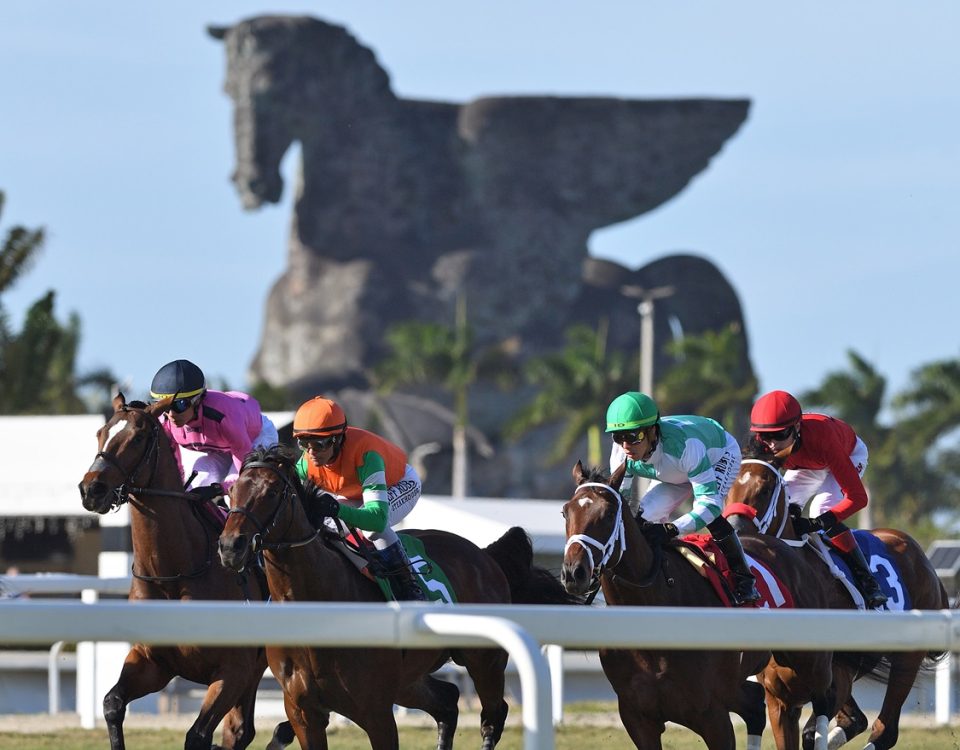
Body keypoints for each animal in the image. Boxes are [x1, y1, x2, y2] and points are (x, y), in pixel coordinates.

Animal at [79, 394, 292, 750]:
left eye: (138, 438)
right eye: (100, 433)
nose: (91, 489)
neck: (173, 573)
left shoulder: (232, 671)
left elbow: (198, 735)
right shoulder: (152, 664)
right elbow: (112, 704)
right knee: (241, 730)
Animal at [218, 446, 576, 750]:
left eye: (271, 492)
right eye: (231, 492)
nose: (230, 546)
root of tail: (485, 554)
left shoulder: (375, 711)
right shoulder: (303, 713)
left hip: (483, 660)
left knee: (493, 716)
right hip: (409, 678)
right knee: (447, 701)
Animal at [560, 458, 812, 750]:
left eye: (609, 513)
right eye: (565, 512)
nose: (574, 573)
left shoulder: (713, 716)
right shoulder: (638, 718)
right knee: (755, 704)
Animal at [724, 450, 948, 750]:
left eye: (766, 487)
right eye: (727, 485)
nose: (735, 533)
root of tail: (913, 547)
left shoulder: (835, 680)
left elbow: (812, 732)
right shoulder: (780, 700)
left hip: (907, 659)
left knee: (884, 730)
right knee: (855, 720)